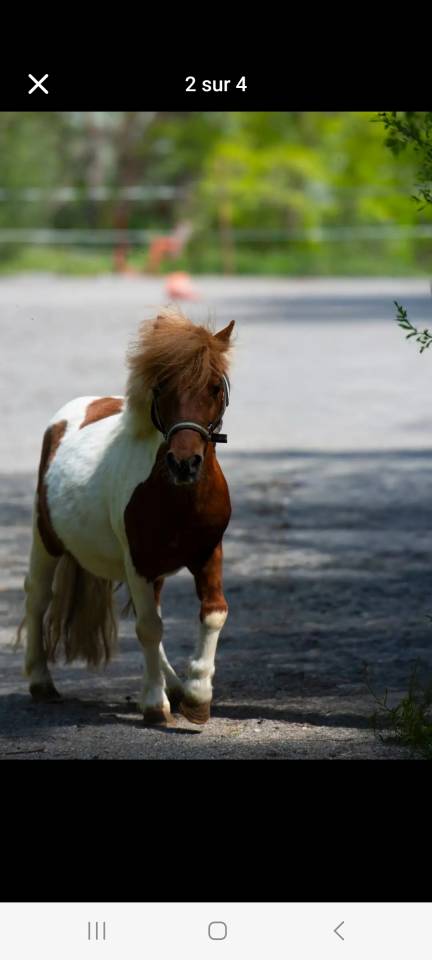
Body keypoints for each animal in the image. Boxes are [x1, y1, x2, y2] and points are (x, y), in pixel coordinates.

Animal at [18, 309, 235, 725]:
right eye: (162, 387)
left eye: (215, 387)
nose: (184, 463)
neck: (178, 494)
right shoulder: (139, 562)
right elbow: (149, 628)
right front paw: (154, 705)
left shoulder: (207, 553)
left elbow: (213, 613)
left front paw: (197, 697)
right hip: (46, 538)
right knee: (38, 597)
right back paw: (41, 682)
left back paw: (176, 687)